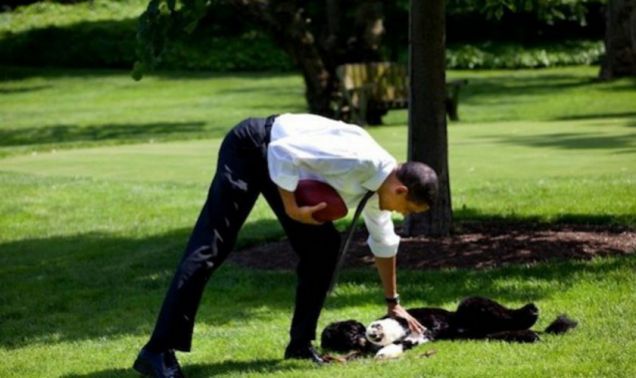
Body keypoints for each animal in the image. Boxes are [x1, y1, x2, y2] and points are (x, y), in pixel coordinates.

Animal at [322, 296, 576, 360]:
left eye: (350, 332)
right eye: (341, 341)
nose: (356, 340)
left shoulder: (403, 321)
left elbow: (389, 326)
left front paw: (376, 331)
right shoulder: (414, 339)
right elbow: (400, 345)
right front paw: (383, 351)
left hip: (471, 304)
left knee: (512, 316)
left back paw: (531, 311)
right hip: (485, 334)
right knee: (509, 331)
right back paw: (531, 335)